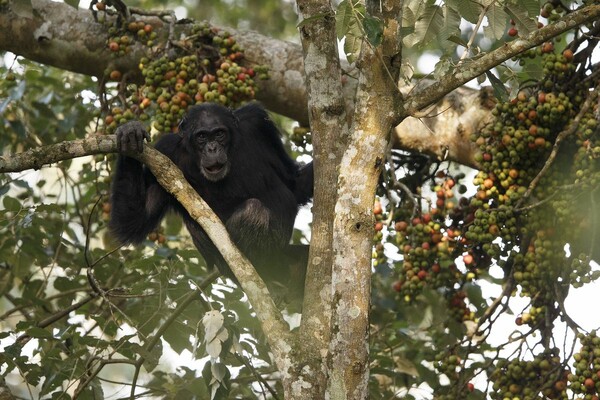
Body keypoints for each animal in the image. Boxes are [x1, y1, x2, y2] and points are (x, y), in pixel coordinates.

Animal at [109, 101, 314, 292]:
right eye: (201, 137)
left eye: (219, 134)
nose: (212, 148)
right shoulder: (165, 151)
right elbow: (134, 221)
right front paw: (130, 134)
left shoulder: (259, 123)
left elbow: (293, 183)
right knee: (253, 211)